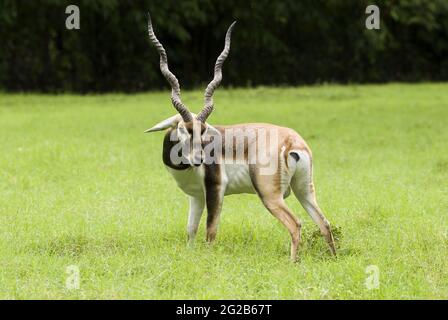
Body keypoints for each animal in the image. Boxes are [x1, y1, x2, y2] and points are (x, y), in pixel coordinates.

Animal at [146, 13, 336, 262]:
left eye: (203, 130)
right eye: (183, 130)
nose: (199, 159)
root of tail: (292, 143)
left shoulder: (216, 189)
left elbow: (210, 232)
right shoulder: (196, 196)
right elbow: (190, 231)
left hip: (270, 195)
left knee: (296, 224)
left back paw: (293, 263)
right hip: (304, 190)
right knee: (324, 223)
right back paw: (333, 259)